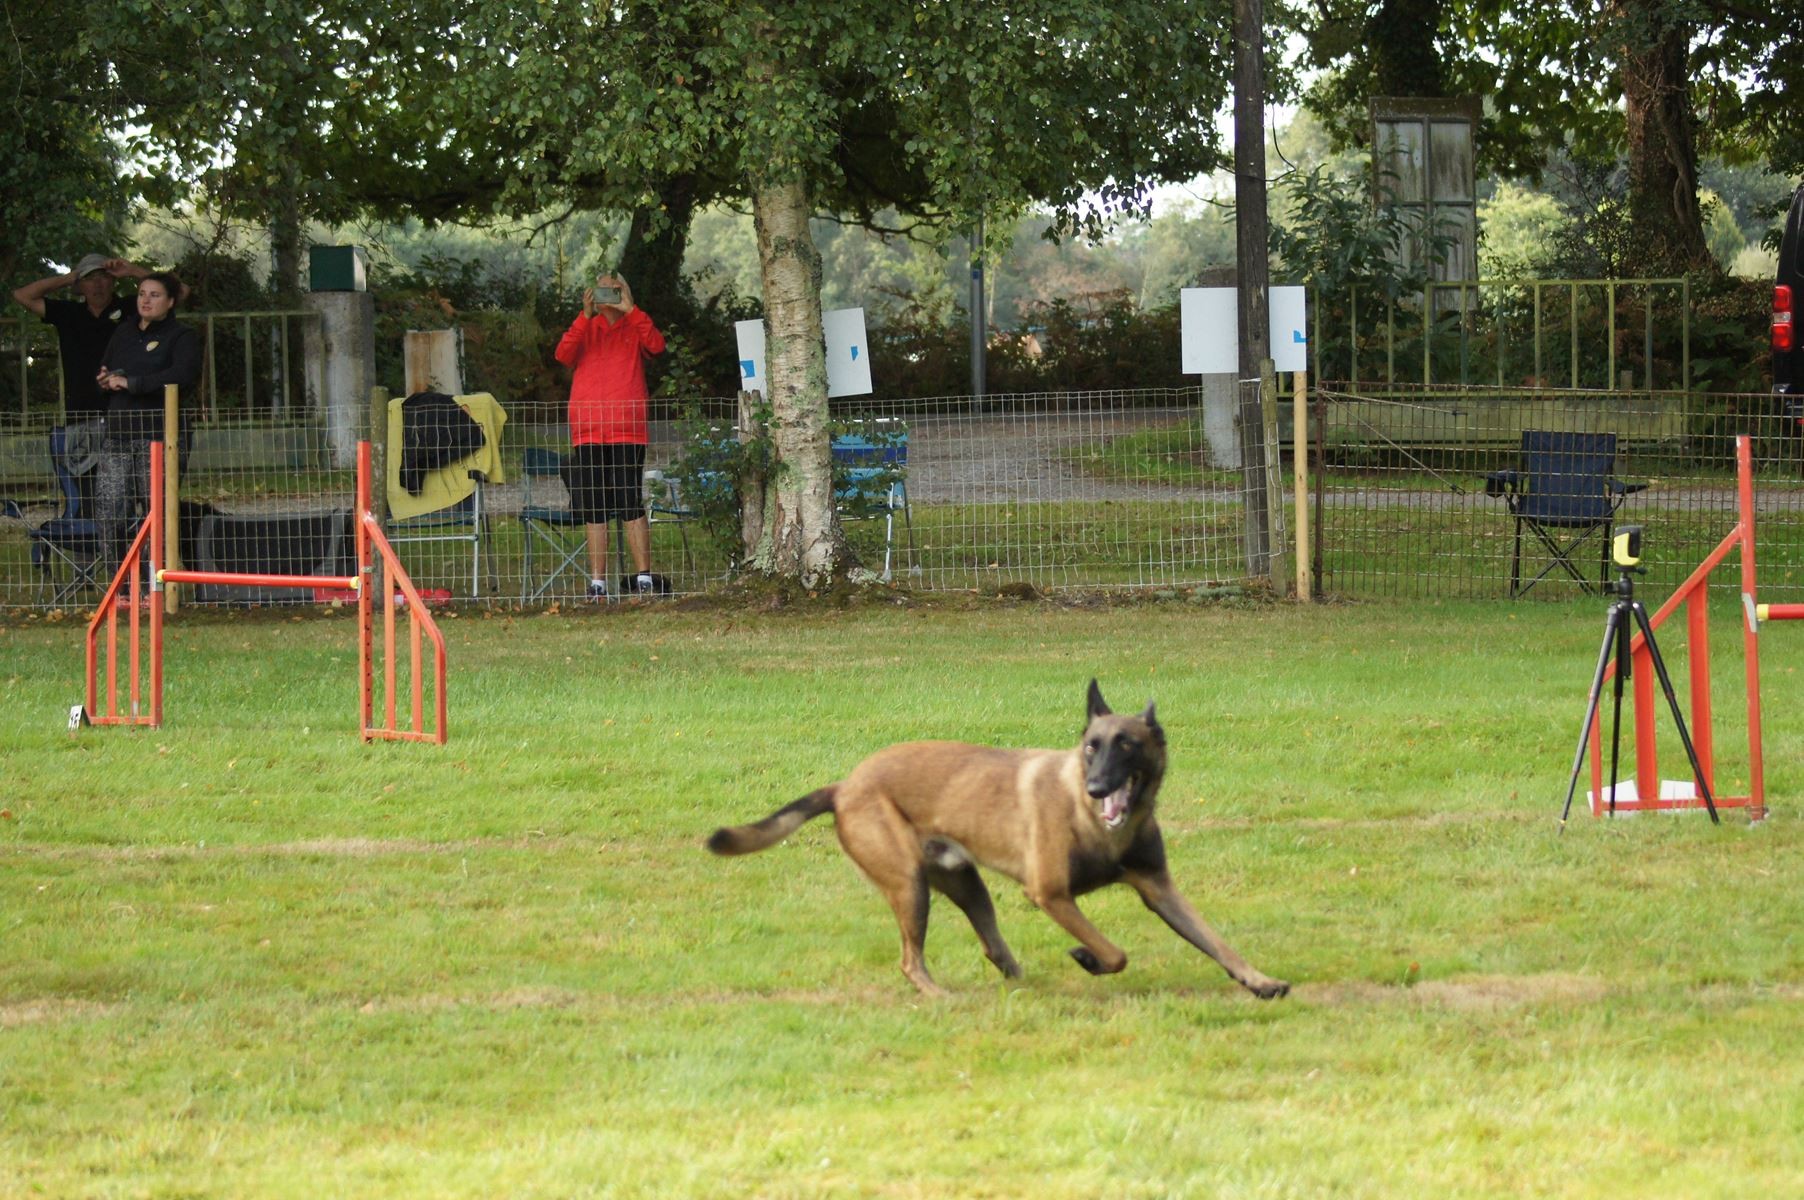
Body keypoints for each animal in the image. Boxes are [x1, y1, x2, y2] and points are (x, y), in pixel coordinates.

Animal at [707, 678, 1298, 996]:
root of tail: (844, 784)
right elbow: (1115, 952)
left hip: (966, 884)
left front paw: (1259, 980)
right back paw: (939, 995)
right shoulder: (1051, 895)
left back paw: (1017, 979)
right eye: (1091, 746)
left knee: (991, 944)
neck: (1095, 821)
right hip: (909, 884)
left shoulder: (1159, 889)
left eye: (1127, 745)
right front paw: (1087, 958)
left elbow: (1215, 940)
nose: (1097, 786)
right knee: (910, 959)